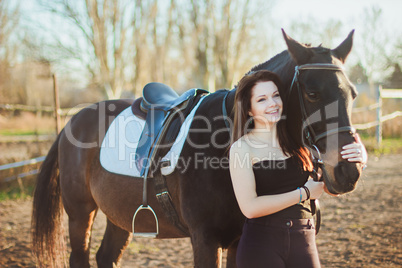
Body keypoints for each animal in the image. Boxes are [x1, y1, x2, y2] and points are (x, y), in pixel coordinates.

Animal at [31, 29, 362, 266]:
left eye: (353, 94)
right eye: (312, 93)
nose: (349, 170)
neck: (225, 141)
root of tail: (73, 121)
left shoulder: (239, 239)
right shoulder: (205, 240)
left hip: (120, 216)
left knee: (106, 257)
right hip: (80, 214)